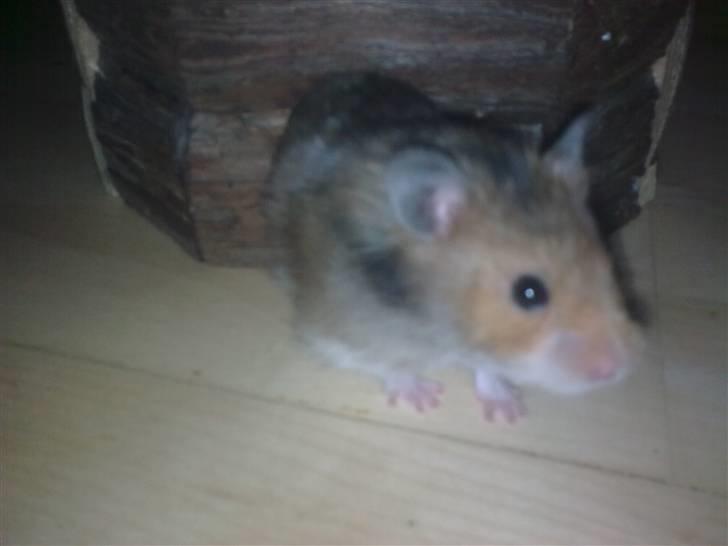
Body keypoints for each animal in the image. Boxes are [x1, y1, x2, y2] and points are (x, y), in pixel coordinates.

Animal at [264, 73, 644, 422]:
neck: (436, 321)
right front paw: (425, 400)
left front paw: (509, 412)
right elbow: (388, 363)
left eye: (608, 265)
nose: (617, 369)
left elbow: (486, 367)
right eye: (529, 292)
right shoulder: (338, 328)